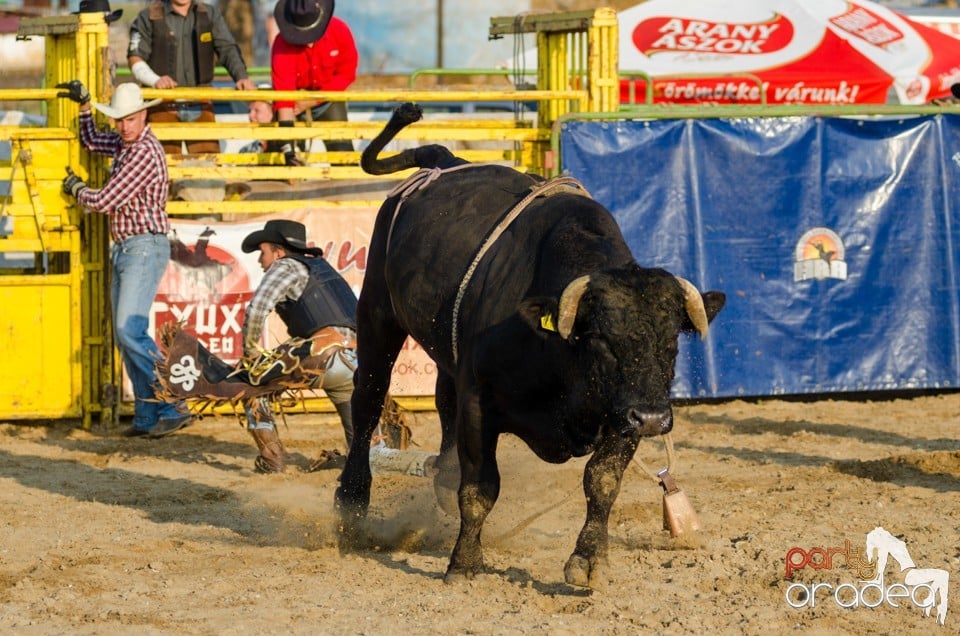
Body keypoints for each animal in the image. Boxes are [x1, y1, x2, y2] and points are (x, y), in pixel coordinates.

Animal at [336, 103, 720, 588]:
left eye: (671, 341)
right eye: (600, 340)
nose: (653, 418)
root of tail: (445, 158)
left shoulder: (622, 413)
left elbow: (602, 481)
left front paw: (589, 558)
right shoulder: (481, 403)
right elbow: (480, 488)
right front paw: (464, 562)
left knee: (443, 400)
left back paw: (441, 477)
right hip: (377, 313)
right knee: (368, 397)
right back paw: (351, 503)